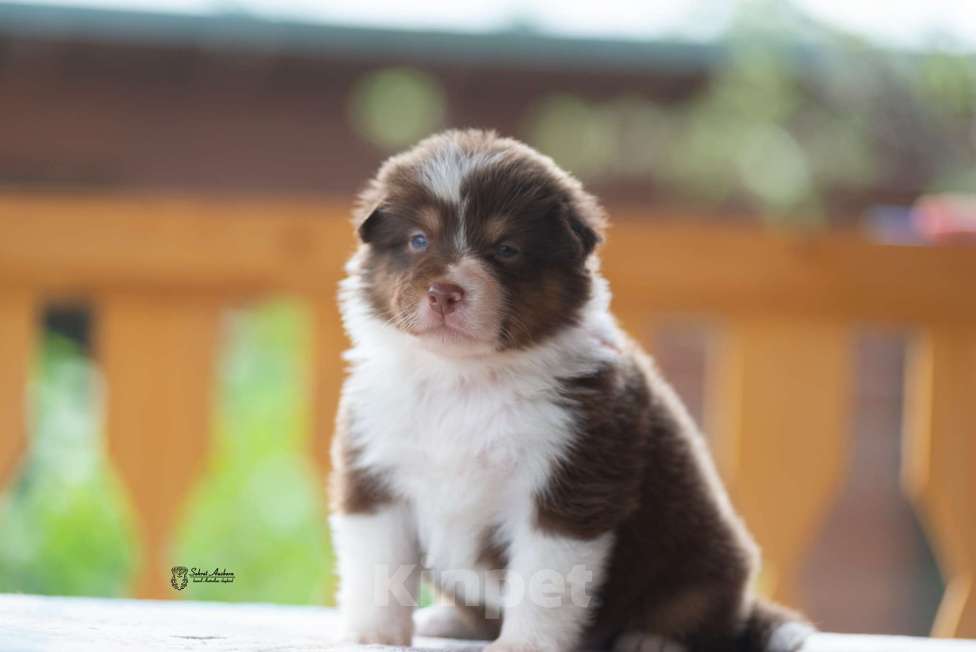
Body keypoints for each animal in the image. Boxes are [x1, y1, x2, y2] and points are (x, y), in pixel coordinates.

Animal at [332, 130, 812, 648]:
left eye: (506, 249)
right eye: (418, 240)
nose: (444, 293)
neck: (463, 380)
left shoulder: (568, 483)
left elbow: (544, 583)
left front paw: (525, 645)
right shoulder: (375, 472)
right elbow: (377, 567)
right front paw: (371, 636)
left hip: (704, 562)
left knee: (699, 615)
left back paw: (651, 639)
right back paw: (447, 621)